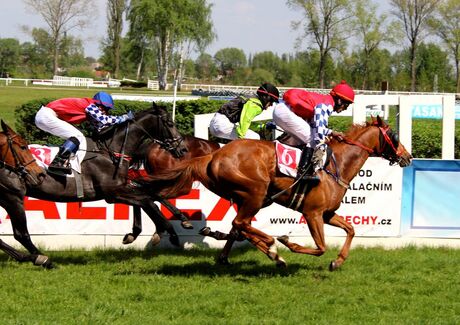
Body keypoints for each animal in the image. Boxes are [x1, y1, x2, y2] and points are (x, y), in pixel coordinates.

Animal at [0, 103, 187, 266]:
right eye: (170, 123)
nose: (183, 150)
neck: (110, 151)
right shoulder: (112, 193)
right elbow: (147, 200)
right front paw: (168, 232)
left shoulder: (121, 187)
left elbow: (148, 196)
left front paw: (178, 221)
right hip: (13, 197)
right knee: (21, 234)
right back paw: (41, 258)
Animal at [141, 115, 414, 270]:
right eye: (394, 135)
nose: (408, 156)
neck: (336, 166)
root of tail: (213, 155)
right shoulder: (313, 213)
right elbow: (320, 246)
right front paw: (286, 242)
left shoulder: (327, 214)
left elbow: (351, 229)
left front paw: (337, 261)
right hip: (255, 191)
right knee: (240, 223)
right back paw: (272, 247)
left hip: (251, 197)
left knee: (239, 225)